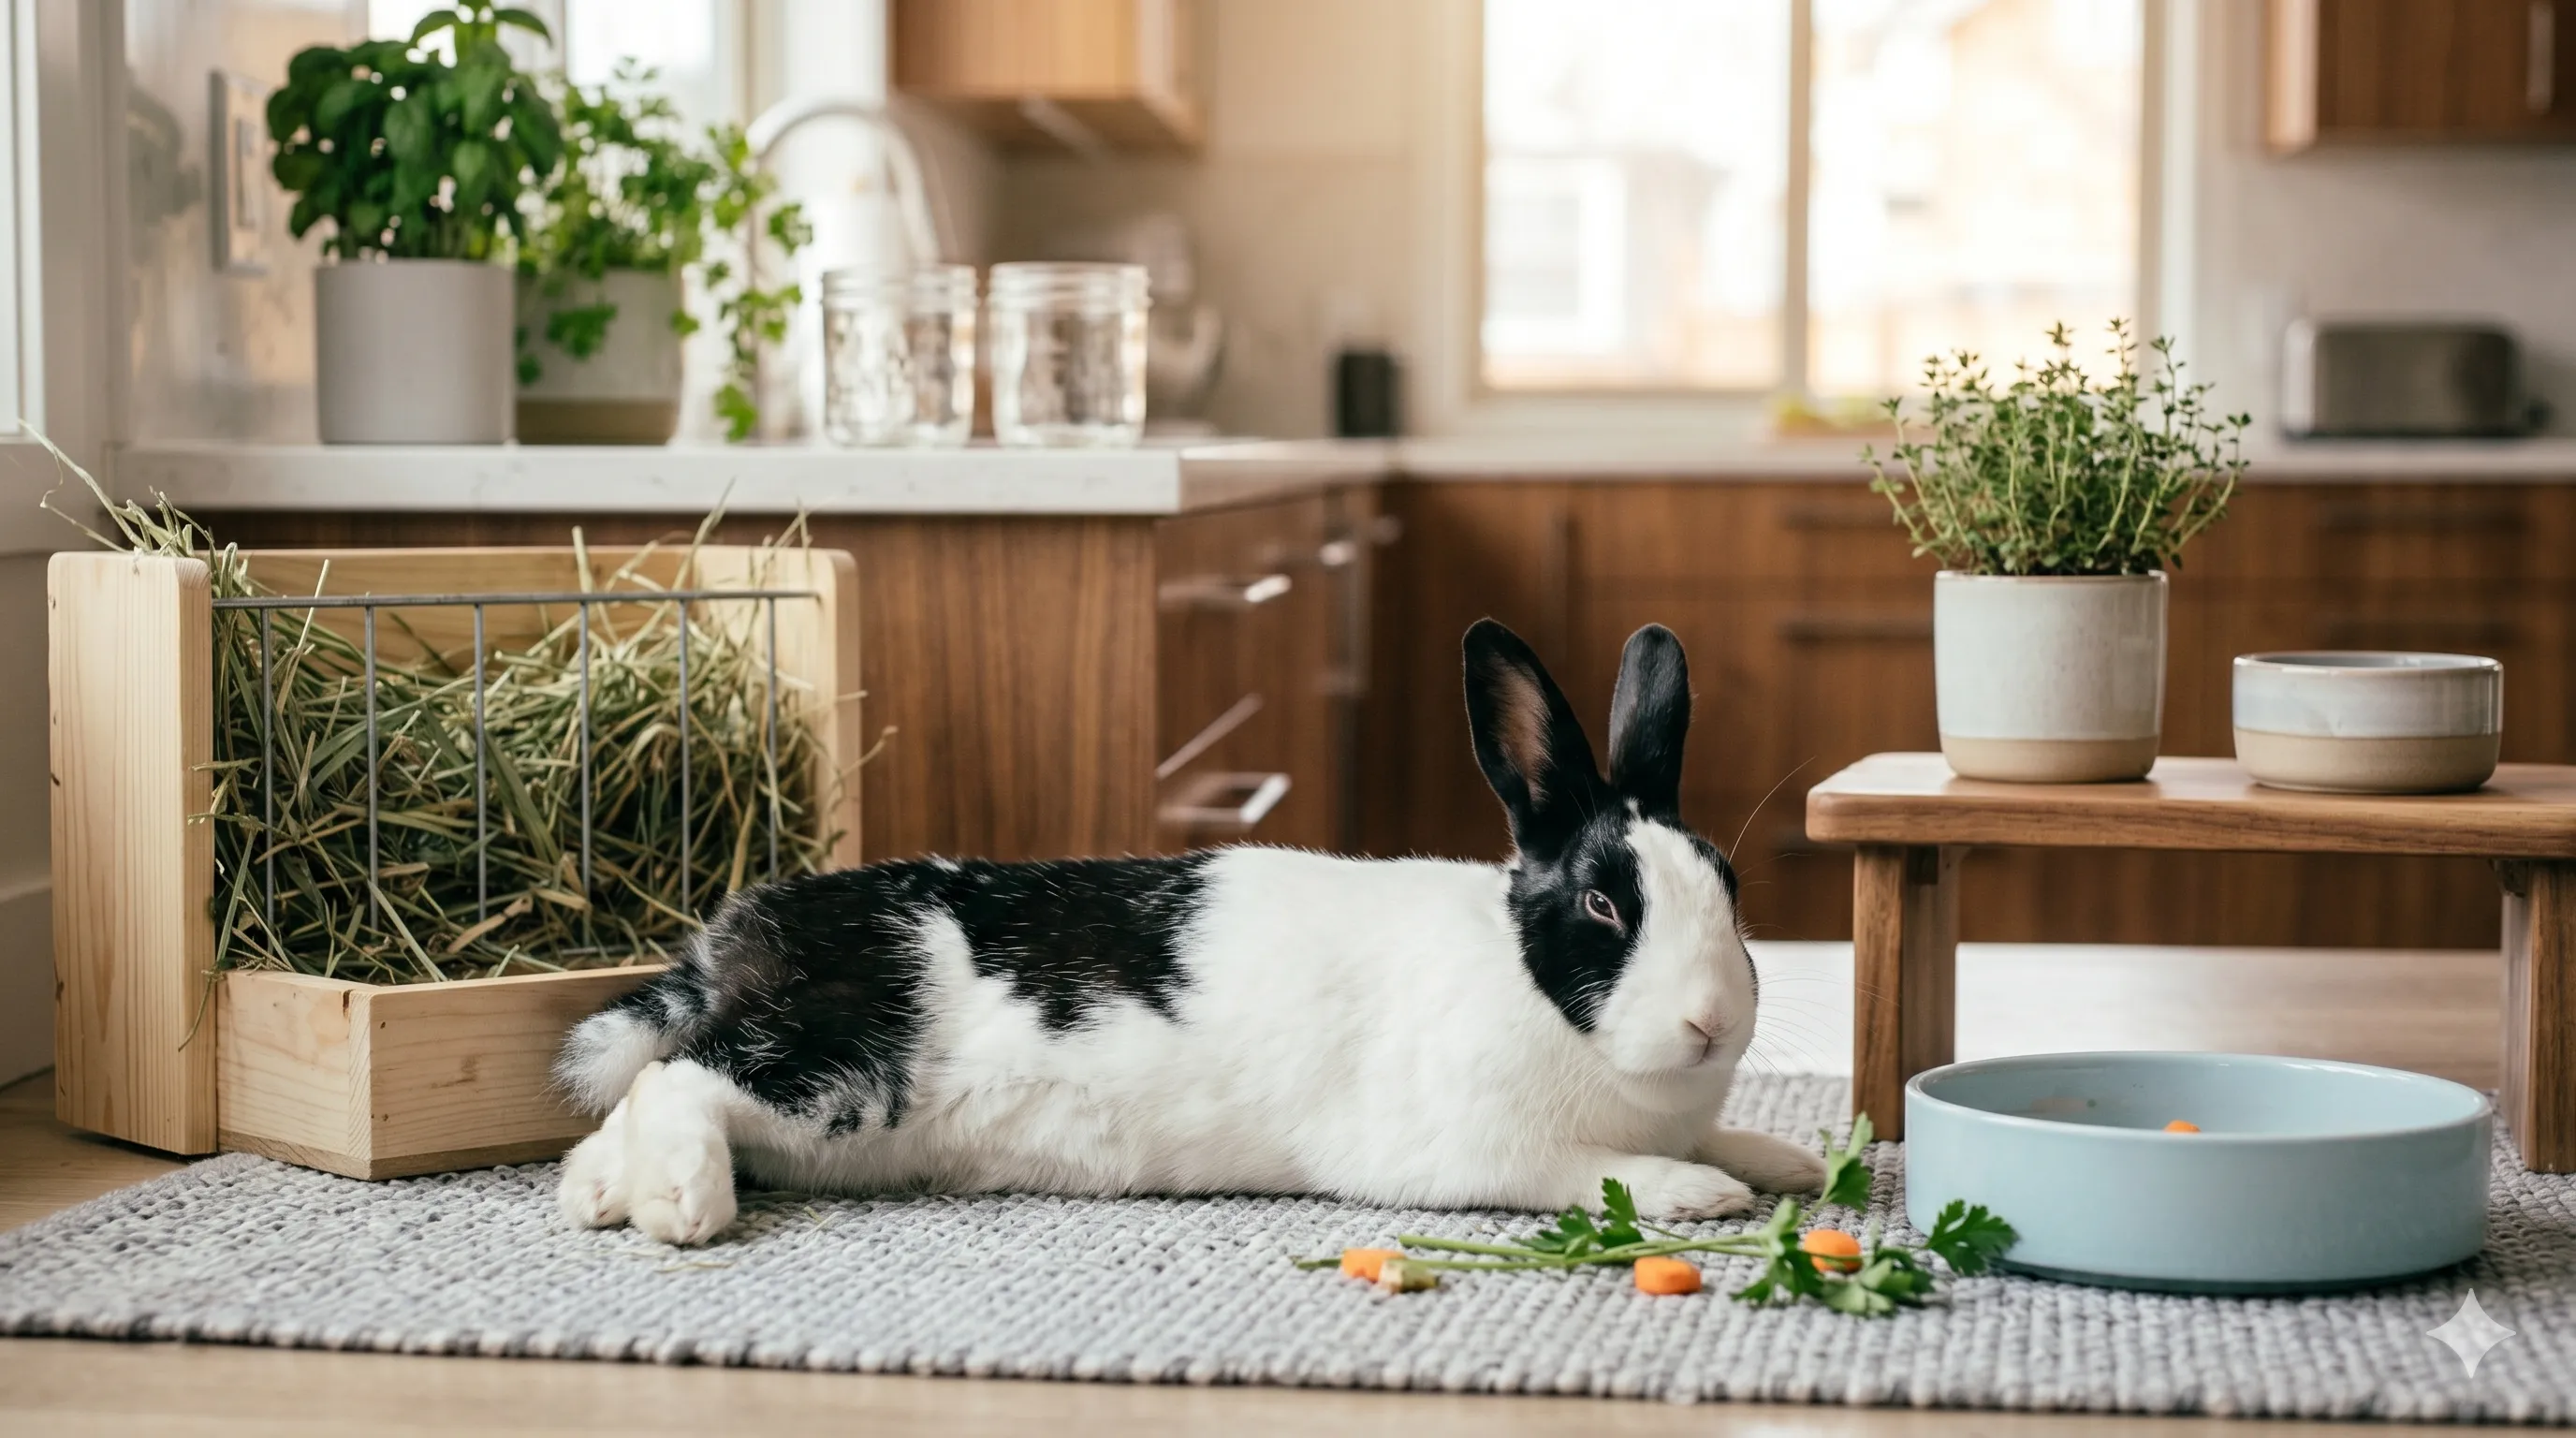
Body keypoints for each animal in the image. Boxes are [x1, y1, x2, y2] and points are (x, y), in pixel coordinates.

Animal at [553, 618, 1827, 1246]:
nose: (1712, 1024)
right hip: (848, 1069)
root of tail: (738, 933)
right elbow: (1592, 1174)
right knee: (684, 1076)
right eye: (1606, 904)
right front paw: (1697, 1195)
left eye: (1724, 883)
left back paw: (601, 1196)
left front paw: (1786, 1161)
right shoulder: (1474, 1152)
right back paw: (681, 1208)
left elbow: (1727, 1138)